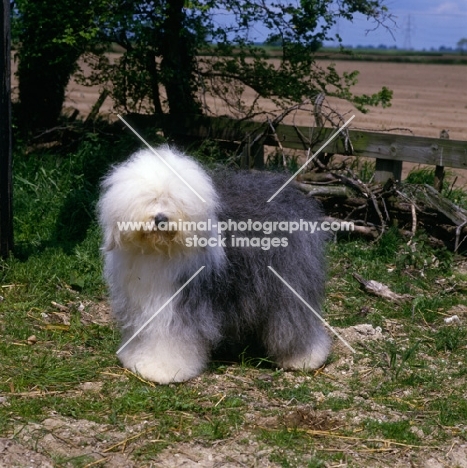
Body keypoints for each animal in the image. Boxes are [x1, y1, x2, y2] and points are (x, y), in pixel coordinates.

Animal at [98, 147, 332, 384]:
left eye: (175, 200)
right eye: (151, 199)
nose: (161, 218)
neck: (159, 251)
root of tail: (291, 195)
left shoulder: (181, 301)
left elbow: (170, 337)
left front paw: (162, 369)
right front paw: (136, 358)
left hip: (288, 281)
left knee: (294, 320)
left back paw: (304, 358)